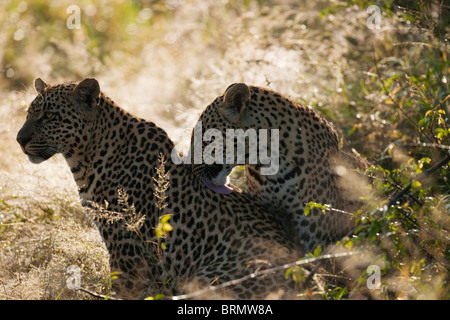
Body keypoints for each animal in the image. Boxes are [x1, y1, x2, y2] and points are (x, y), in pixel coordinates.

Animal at [17, 78, 306, 300]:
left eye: (50, 116)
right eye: (29, 113)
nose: (20, 139)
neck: (87, 157)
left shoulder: (126, 246)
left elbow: (123, 290)